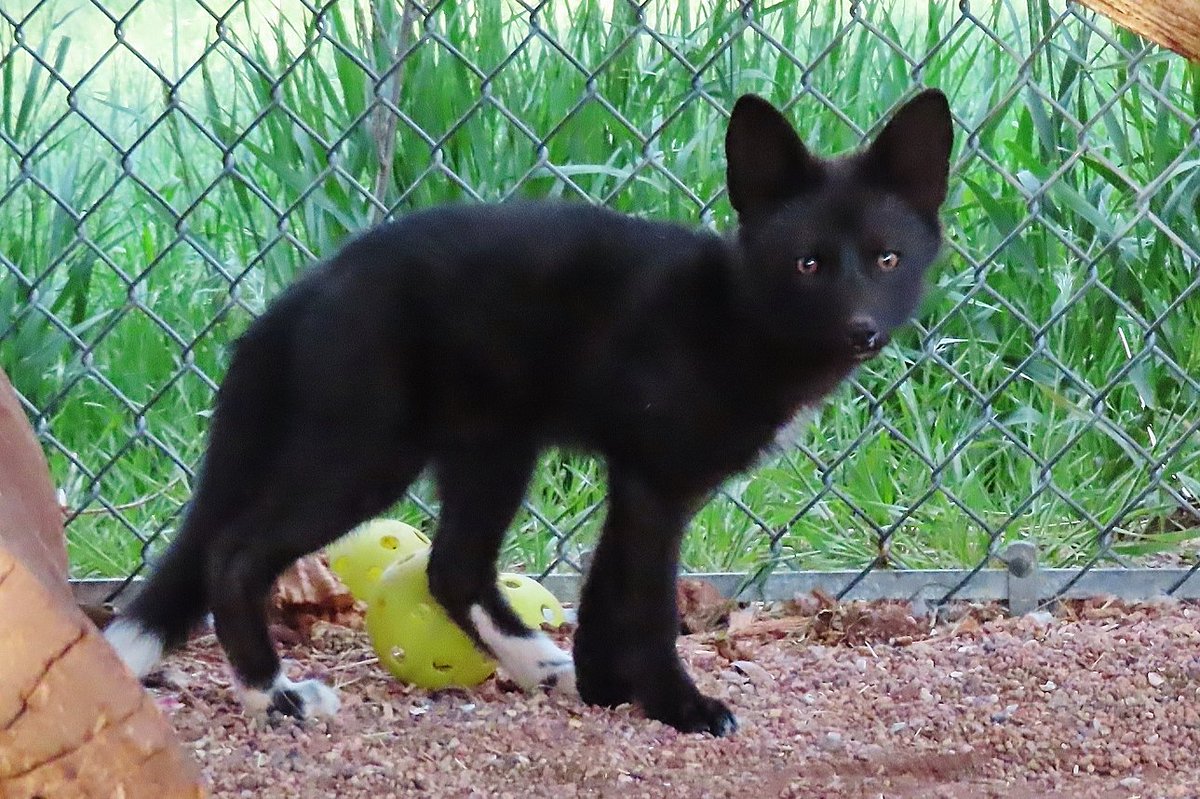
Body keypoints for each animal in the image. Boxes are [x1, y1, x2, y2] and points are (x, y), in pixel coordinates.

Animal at [105, 89, 953, 737]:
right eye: (809, 263)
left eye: (887, 259)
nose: (863, 330)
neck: (735, 317)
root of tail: (315, 282)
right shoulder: (656, 483)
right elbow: (649, 609)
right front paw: (679, 706)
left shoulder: (636, 478)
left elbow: (606, 596)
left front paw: (604, 685)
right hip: (369, 457)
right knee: (234, 553)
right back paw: (271, 694)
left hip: (492, 452)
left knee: (452, 568)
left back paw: (538, 665)